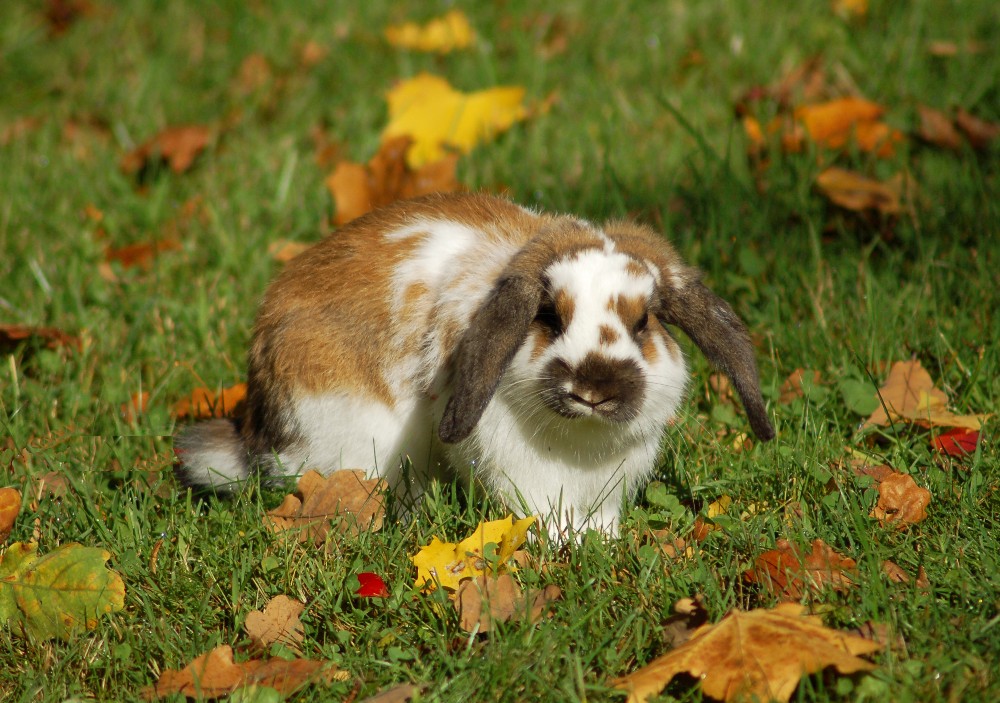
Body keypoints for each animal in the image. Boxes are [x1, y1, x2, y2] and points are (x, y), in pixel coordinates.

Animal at [176, 192, 776, 540]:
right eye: (549, 317)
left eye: (644, 322)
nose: (592, 387)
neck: (578, 440)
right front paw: (562, 544)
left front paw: (600, 542)